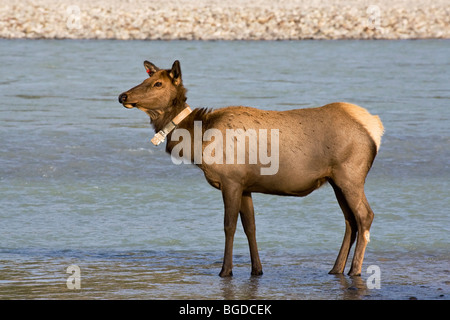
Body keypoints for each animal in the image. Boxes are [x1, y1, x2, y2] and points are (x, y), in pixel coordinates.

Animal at [118, 60, 384, 278]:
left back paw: (355, 270)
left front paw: (225, 271)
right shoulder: (246, 186)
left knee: (365, 215)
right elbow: (251, 227)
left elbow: (229, 226)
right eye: (146, 79)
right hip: (335, 180)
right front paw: (257, 269)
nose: (123, 96)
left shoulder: (231, 180)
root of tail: (375, 129)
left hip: (351, 175)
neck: (199, 141)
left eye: (158, 83)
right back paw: (336, 269)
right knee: (350, 220)